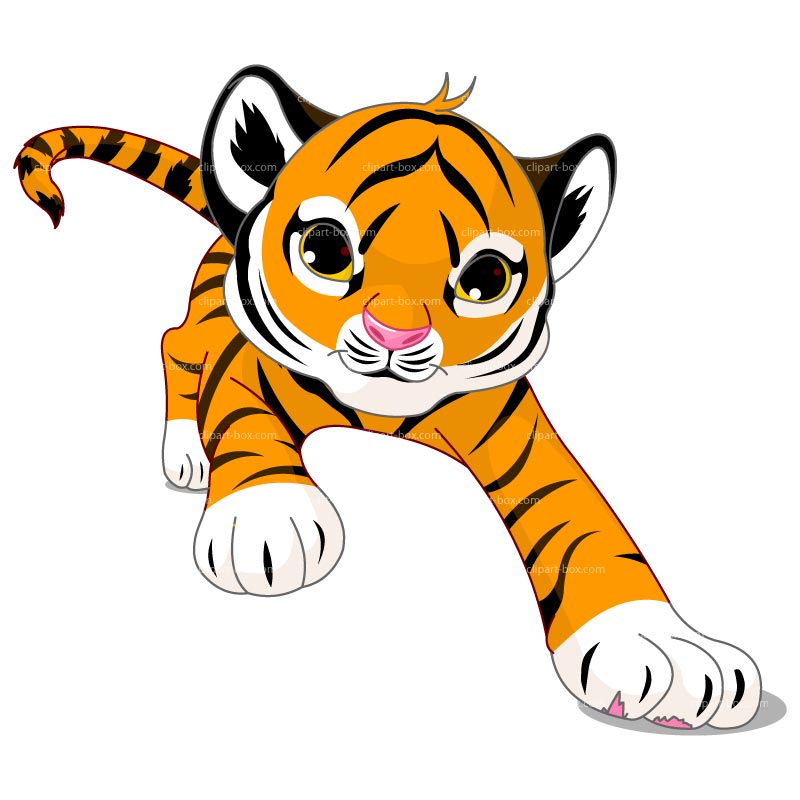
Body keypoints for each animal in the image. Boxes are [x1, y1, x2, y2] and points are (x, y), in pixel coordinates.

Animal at [16, 65, 761, 731]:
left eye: (485, 279)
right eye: (325, 251)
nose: (395, 333)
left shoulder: (524, 437)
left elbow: (589, 528)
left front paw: (662, 648)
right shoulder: (244, 367)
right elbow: (246, 429)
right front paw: (267, 519)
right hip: (205, 318)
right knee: (174, 342)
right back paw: (187, 455)